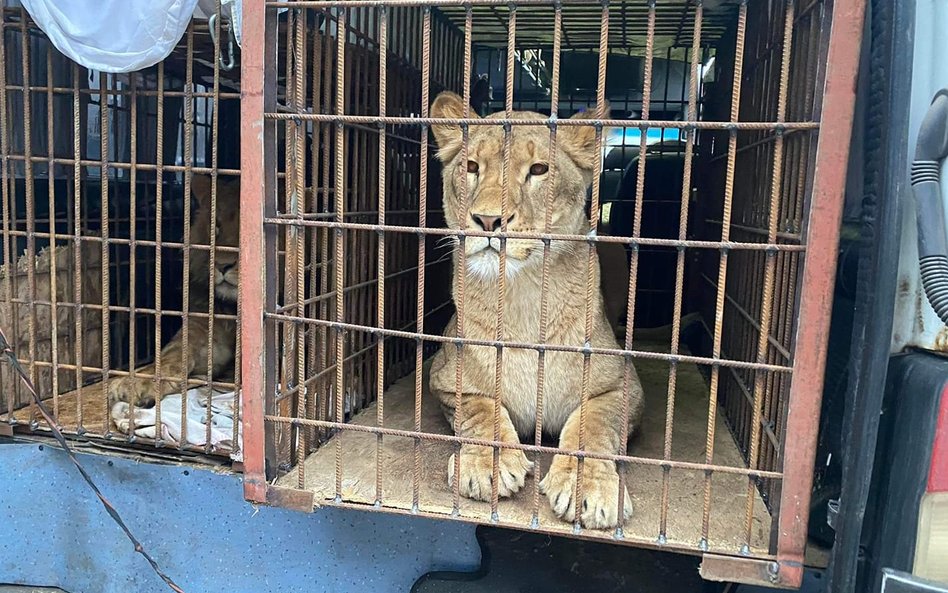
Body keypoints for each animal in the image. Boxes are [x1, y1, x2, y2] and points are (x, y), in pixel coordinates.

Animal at [428, 91, 644, 528]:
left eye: (539, 169)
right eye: (472, 167)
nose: (488, 220)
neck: (521, 296)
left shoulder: (623, 385)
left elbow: (593, 425)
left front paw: (587, 487)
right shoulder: (444, 376)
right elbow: (480, 410)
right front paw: (485, 467)